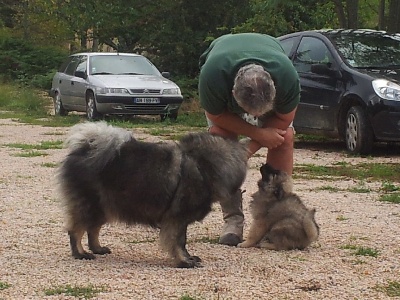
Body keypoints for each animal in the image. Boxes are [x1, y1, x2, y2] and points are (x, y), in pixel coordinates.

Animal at [57, 121, 247, 268]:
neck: (202, 165)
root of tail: (84, 149)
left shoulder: (181, 220)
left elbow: (183, 241)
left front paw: (189, 257)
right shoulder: (176, 218)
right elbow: (177, 242)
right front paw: (184, 261)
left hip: (105, 206)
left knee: (92, 229)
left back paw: (98, 249)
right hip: (90, 205)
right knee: (76, 230)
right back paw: (80, 253)